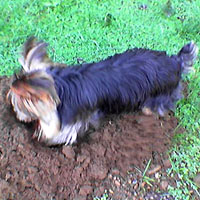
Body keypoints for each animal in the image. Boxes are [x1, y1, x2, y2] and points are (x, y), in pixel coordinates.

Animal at [6, 36, 198, 145]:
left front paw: (46, 138)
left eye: (20, 105)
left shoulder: (71, 119)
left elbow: (60, 133)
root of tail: (176, 61)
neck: (60, 87)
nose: (15, 115)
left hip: (158, 96)